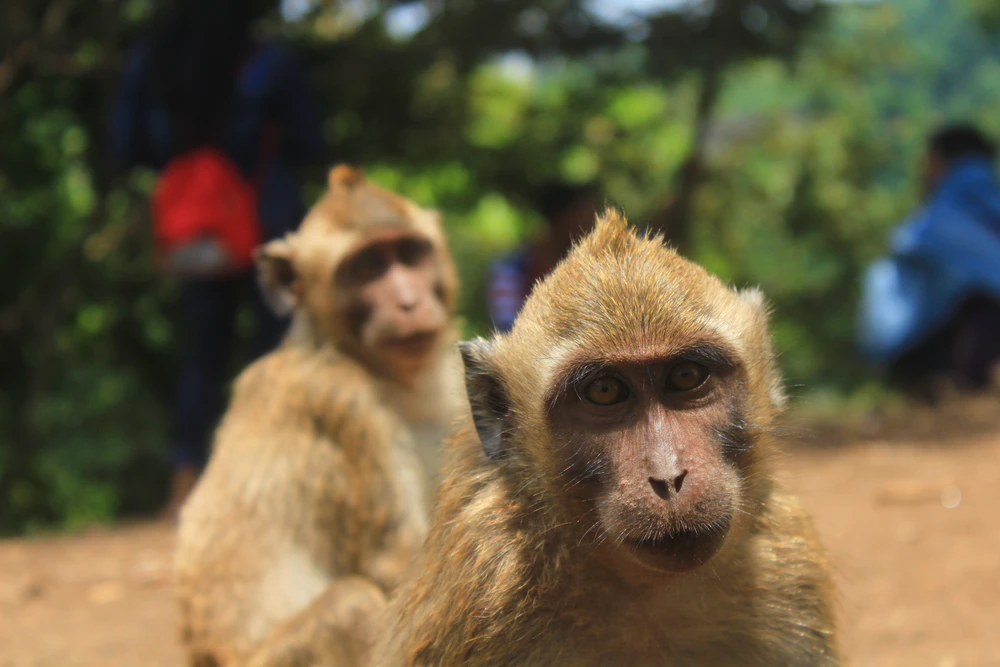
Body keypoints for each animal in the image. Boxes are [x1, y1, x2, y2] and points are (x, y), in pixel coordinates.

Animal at [173, 165, 464, 667]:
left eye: (410, 254)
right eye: (367, 267)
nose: (409, 302)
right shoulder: (338, 401)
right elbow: (397, 567)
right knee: (350, 607)